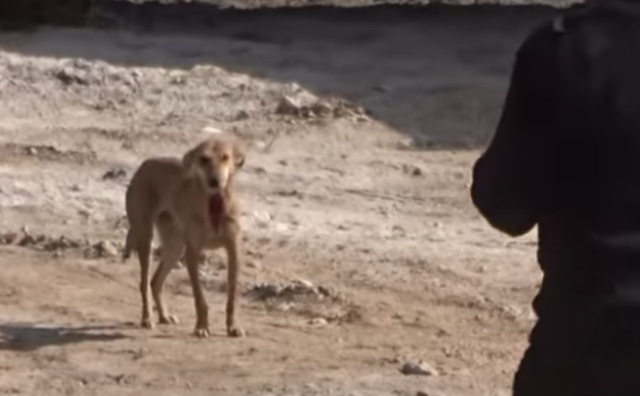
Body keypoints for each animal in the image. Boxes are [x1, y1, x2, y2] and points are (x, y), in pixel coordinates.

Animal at [123, 135, 248, 338]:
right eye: (203, 159)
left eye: (225, 157)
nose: (215, 180)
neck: (214, 205)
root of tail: (145, 164)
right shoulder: (192, 253)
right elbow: (199, 298)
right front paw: (201, 327)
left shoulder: (234, 252)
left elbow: (232, 297)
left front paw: (233, 326)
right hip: (146, 238)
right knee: (144, 283)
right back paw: (147, 318)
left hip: (175, 248)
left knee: (155, 282)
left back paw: (164, 316)